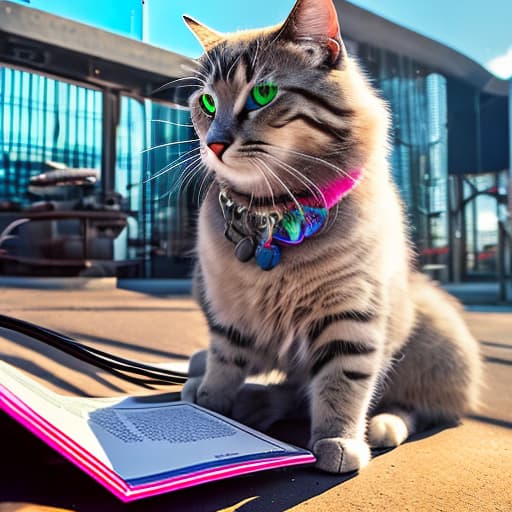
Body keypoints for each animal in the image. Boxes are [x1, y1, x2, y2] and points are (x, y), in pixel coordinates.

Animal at [179, 0, 480, 474]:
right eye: (207, 102)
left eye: (262, 95)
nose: (214, 144)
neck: (275, 216)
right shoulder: (229, 308)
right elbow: (226, 359)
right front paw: (211, 406)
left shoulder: (351, 311)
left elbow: (343, 380)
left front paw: (337, 438)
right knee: (287, 390)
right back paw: (238, 394)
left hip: (438, 339)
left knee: (414, 405)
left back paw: (382, 425)